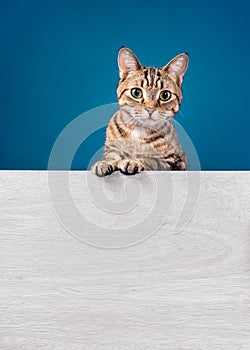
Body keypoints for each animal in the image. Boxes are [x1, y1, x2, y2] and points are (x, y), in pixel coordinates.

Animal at [93, 47, 188, 178]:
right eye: (136, 92)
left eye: (165, 95)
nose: (150, 109)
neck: (138, 130)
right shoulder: (112, 149)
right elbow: (112, 156)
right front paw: (105, 163)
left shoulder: (173, 161)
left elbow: (151, 160)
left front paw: (132, 161)